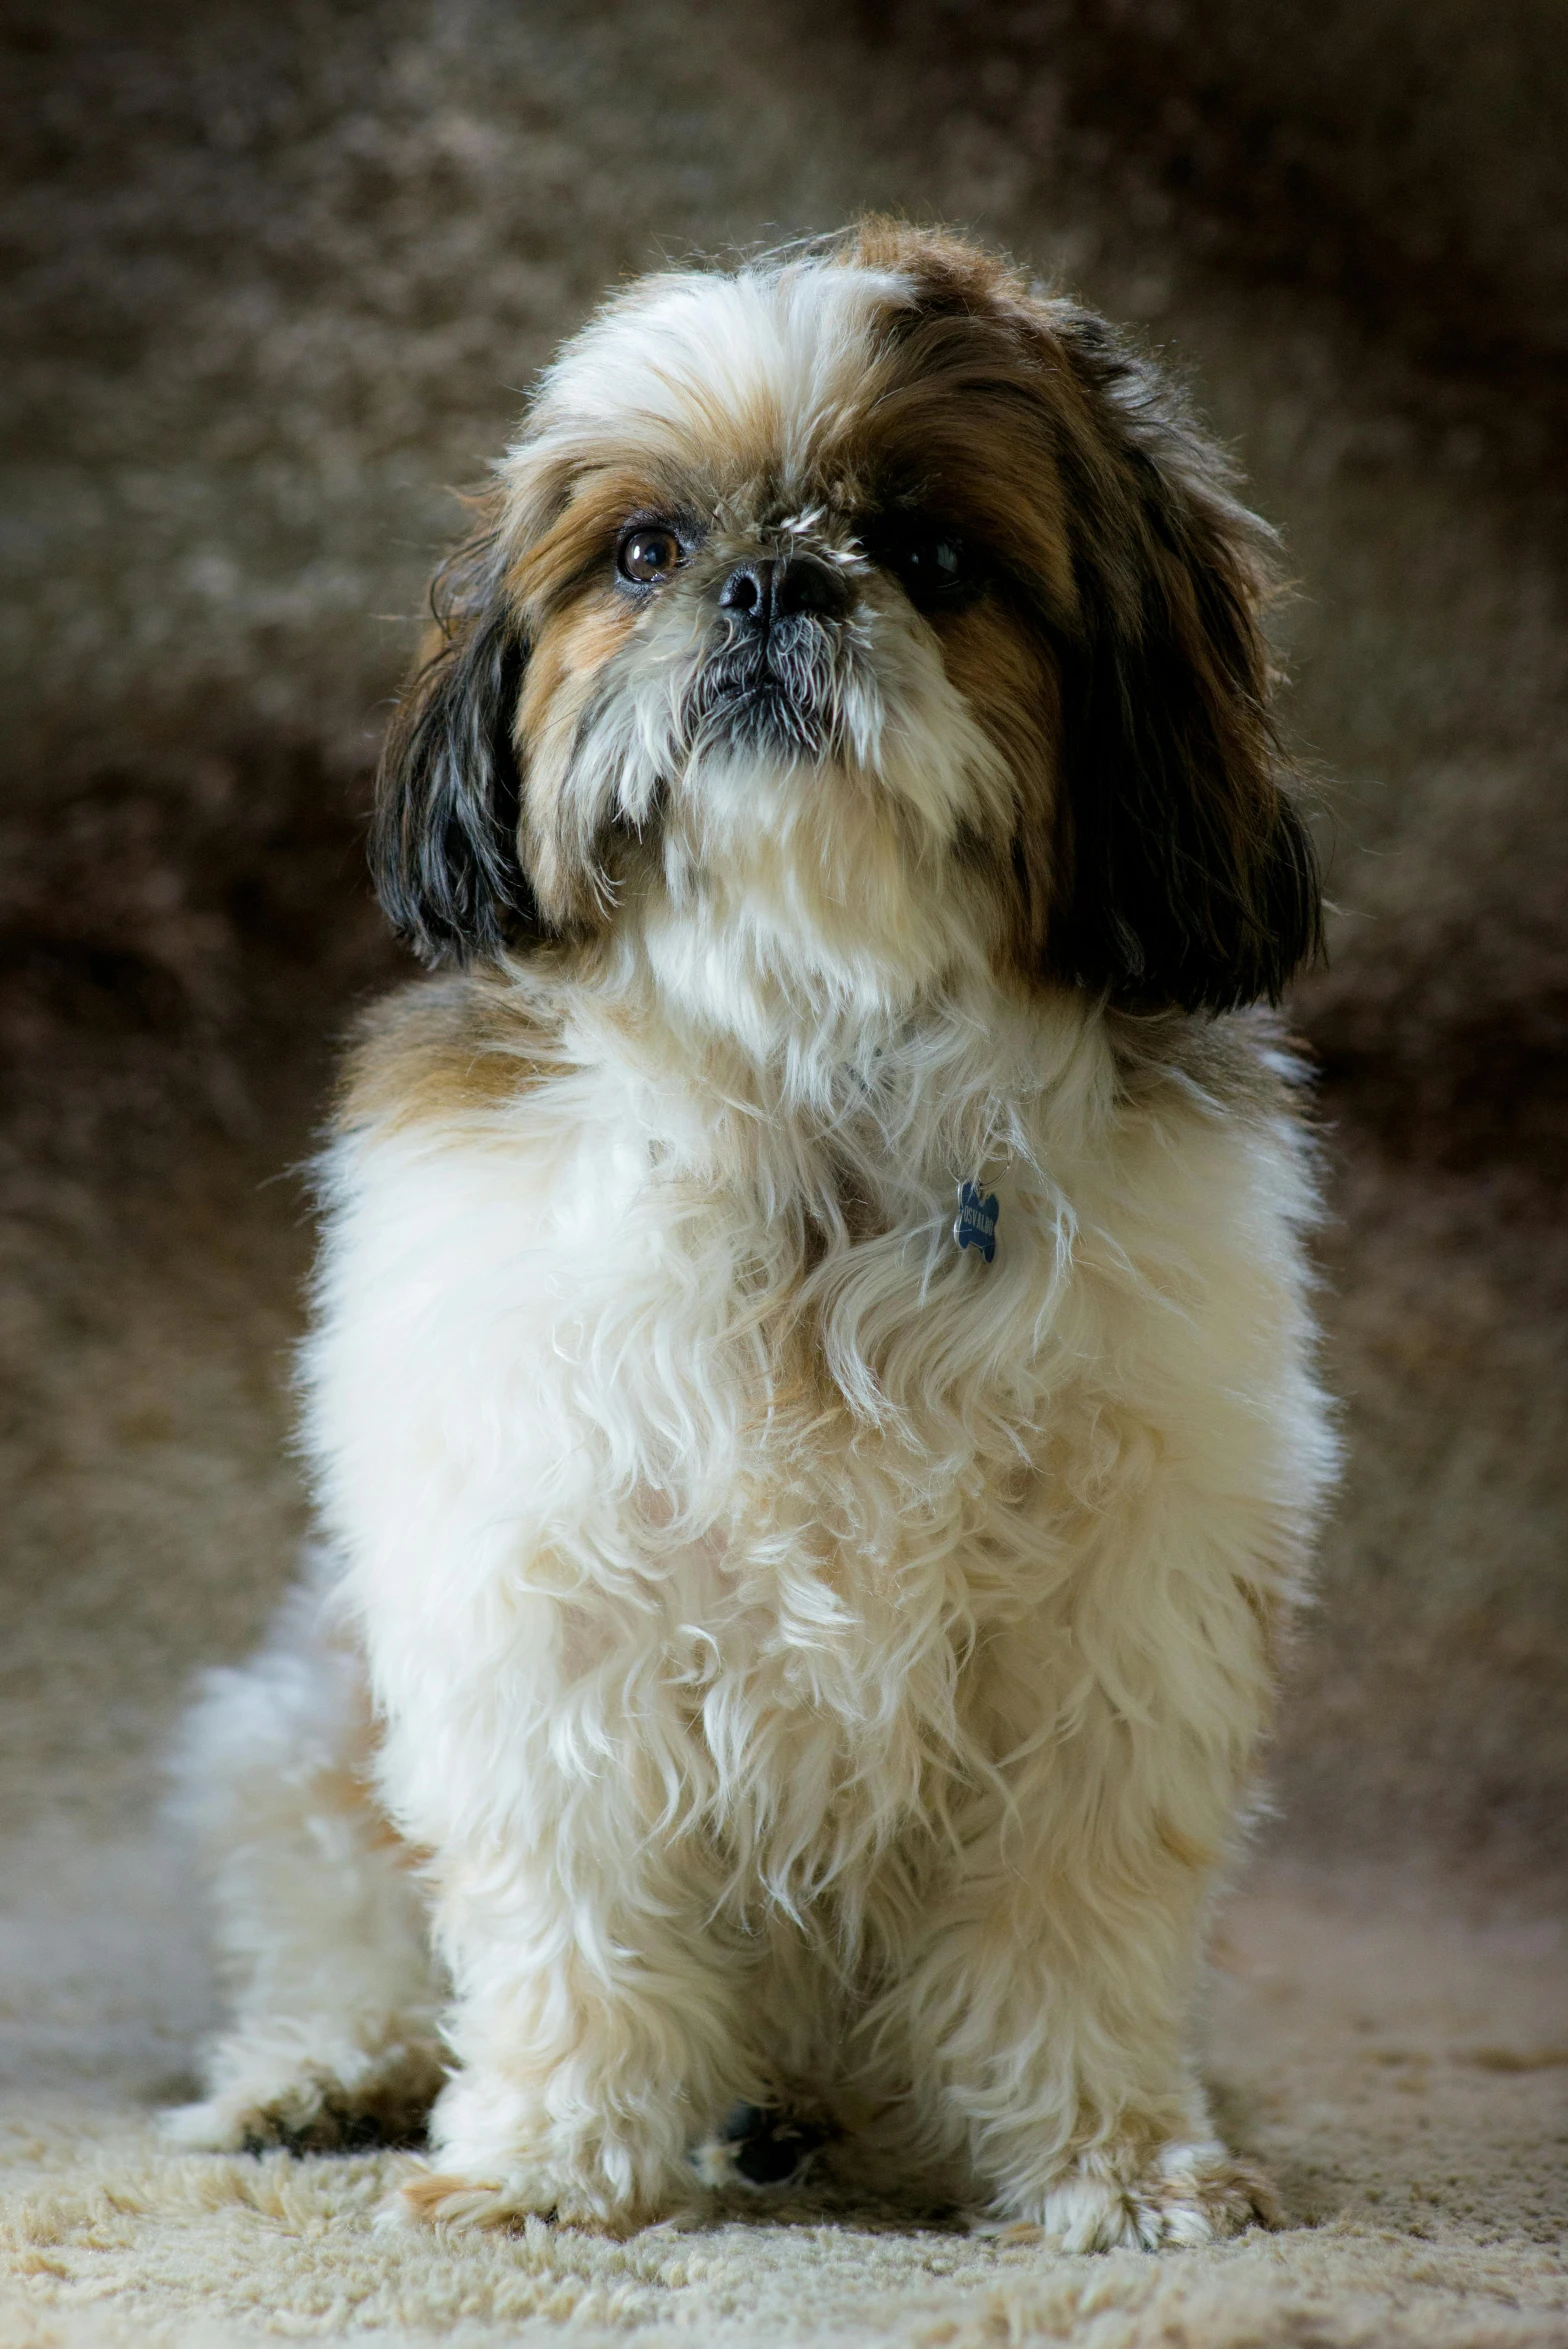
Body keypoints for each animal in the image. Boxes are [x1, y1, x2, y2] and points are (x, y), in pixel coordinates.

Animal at [174, 224, 1352, 2255]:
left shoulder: (1116, 1617)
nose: (774, 579)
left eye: (939, 558)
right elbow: (566, 1905)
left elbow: (1074, 1912)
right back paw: (323, 2072)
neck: (824, 1088)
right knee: (340, 1920)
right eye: (645, 551)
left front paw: (1110, 2162)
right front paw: (550, 2162)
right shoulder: (541, 1592)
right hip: (295, 1726)